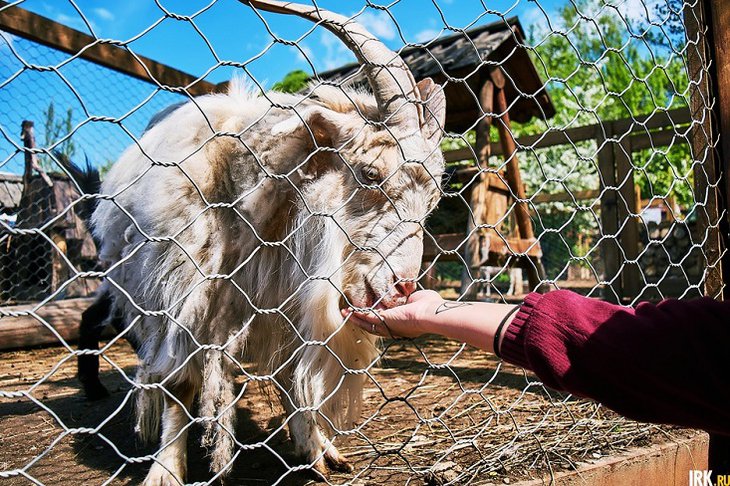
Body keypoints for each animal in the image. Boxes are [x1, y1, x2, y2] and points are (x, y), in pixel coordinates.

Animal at [91, 1, 444, 484]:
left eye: (433, 200)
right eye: (370, 174)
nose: (402, 288)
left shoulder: (284, 302)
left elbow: (294, 374)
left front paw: (318, 449)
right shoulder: (180, 297)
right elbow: (180, 382)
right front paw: (166, 469)